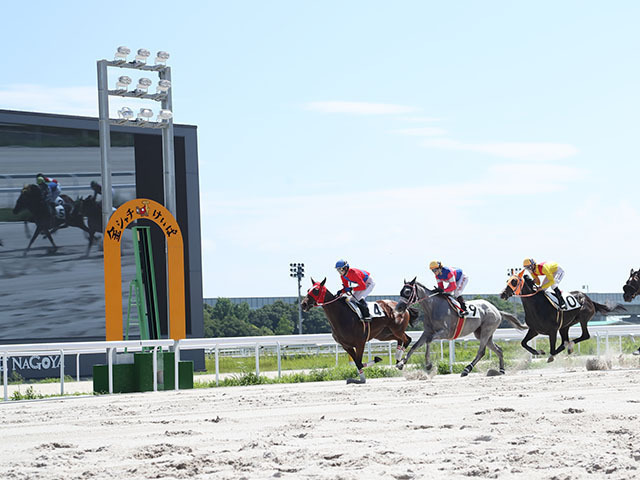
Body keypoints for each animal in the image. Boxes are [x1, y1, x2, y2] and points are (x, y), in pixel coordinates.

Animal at [396, 280, 524, 376]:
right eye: (401, 291)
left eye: (407, 292)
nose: (398, 307)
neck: (433, 307)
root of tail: (497, 310)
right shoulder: (427, 332)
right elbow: (415, 346)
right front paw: (401, 364)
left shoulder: (445, 332)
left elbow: (428, 341)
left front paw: (428, 364)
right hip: (482, 333)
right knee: (499, 350)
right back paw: (501, 370)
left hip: (486, 331)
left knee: (481, 352)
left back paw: (466, 369)